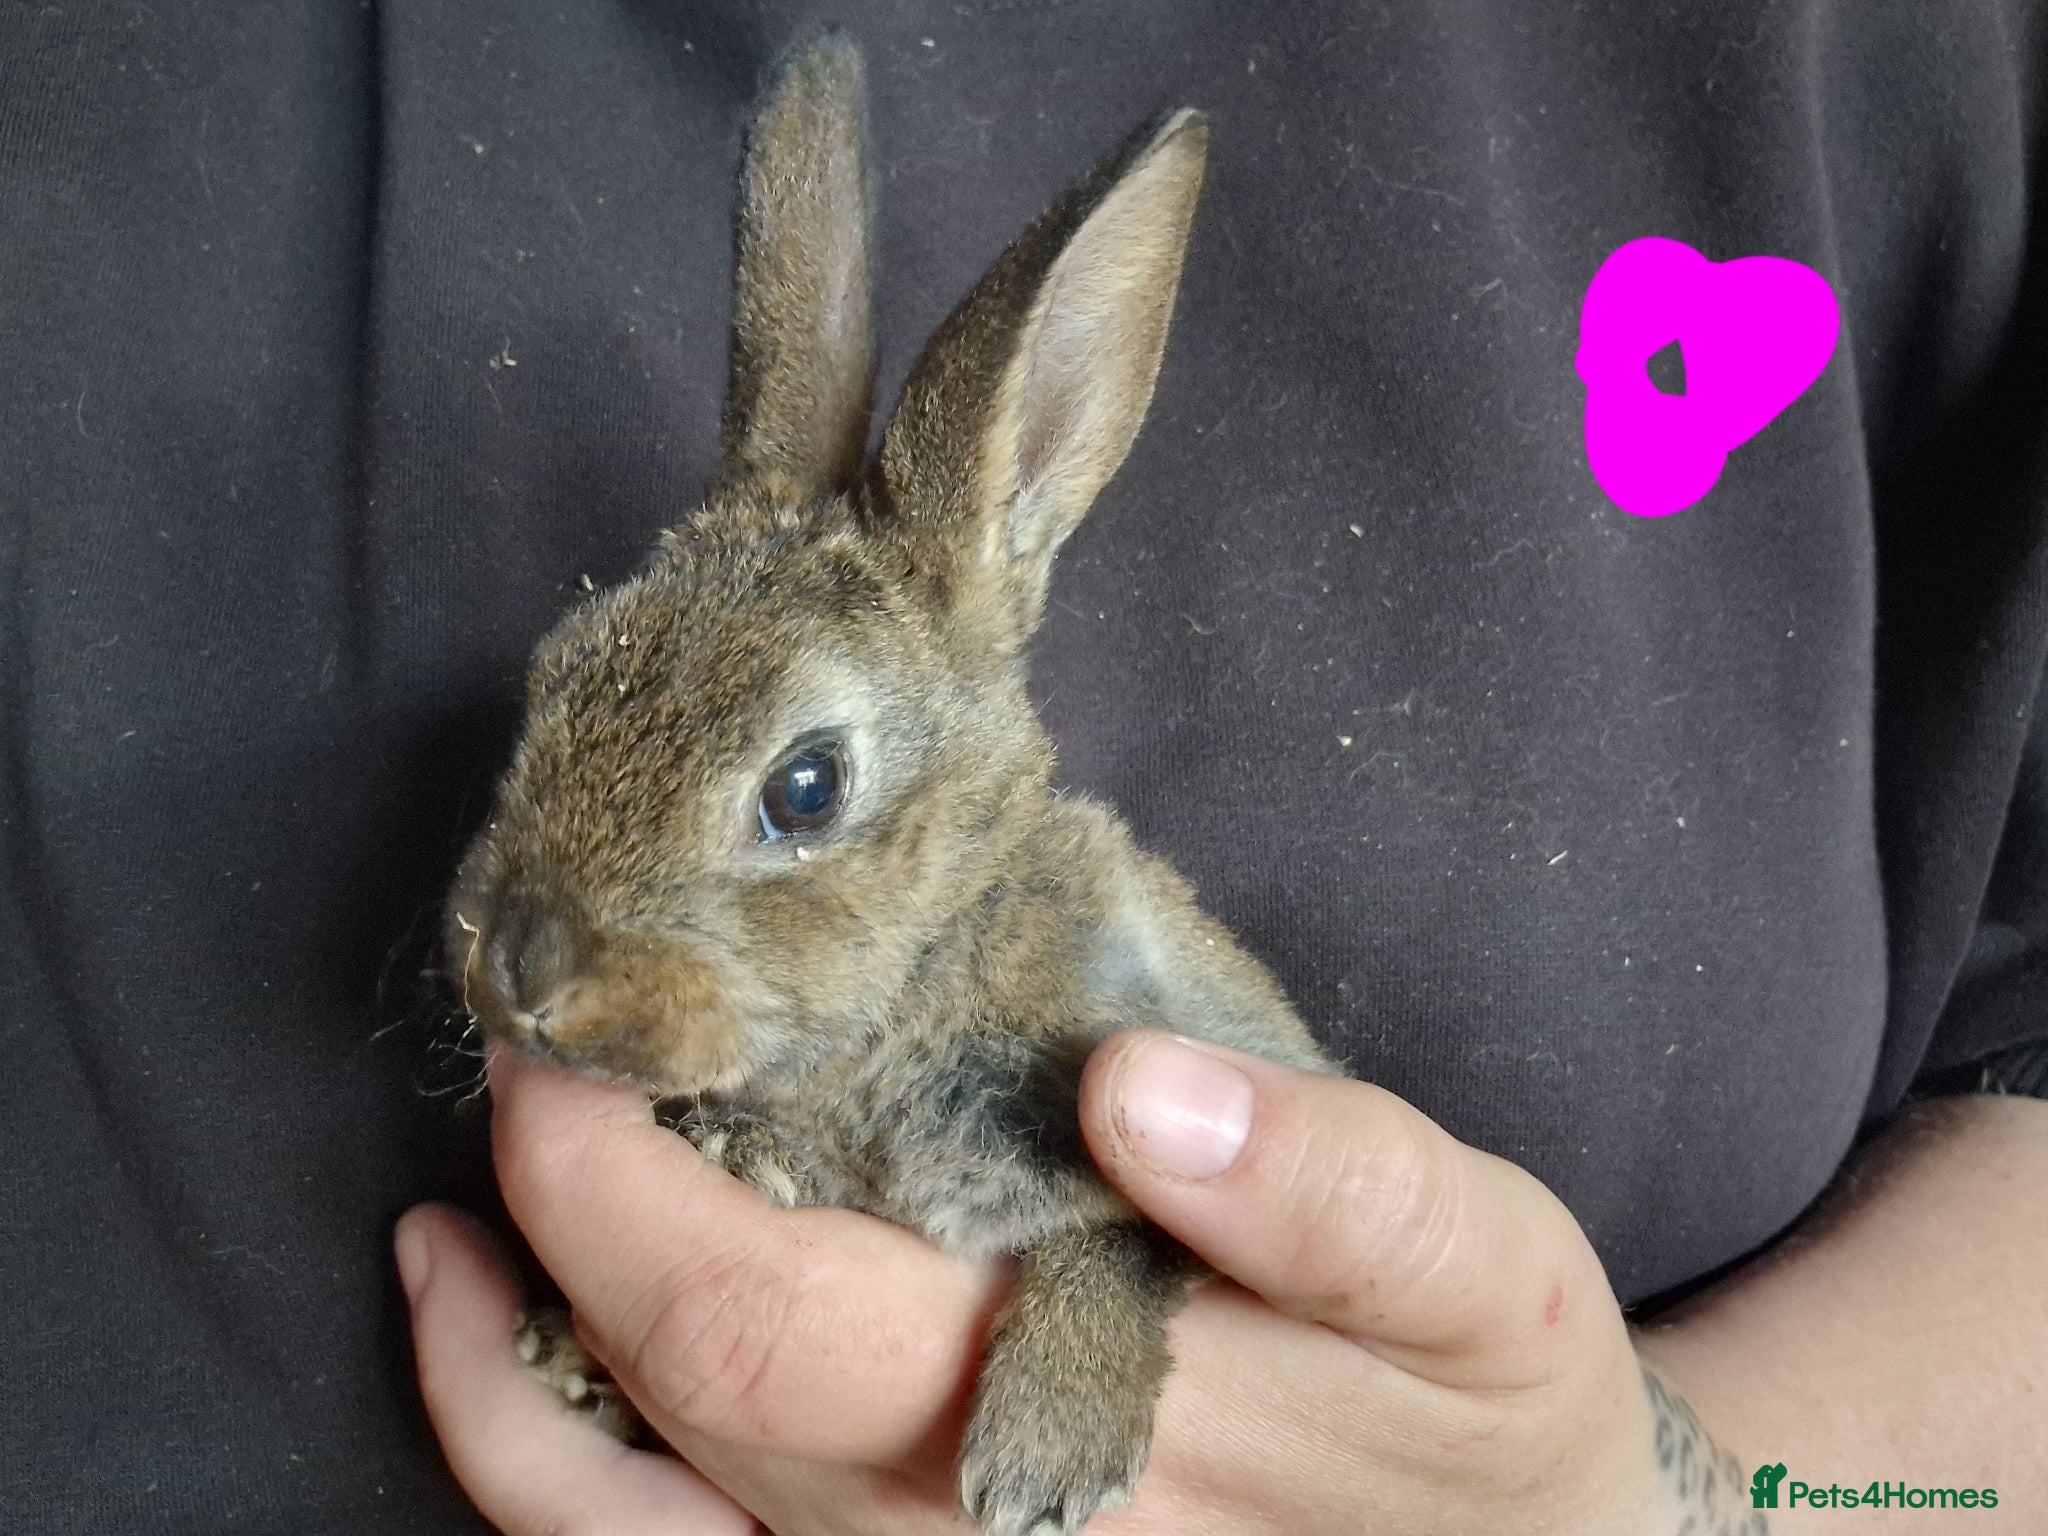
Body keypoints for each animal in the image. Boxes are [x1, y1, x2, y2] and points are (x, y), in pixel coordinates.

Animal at [443, 32, 1346, 1536]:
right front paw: (577, 1340)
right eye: (555, 671)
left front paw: (1045, 1458)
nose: (518, 970)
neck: (929, 969)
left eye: (805, 789)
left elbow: (1121, 1248)